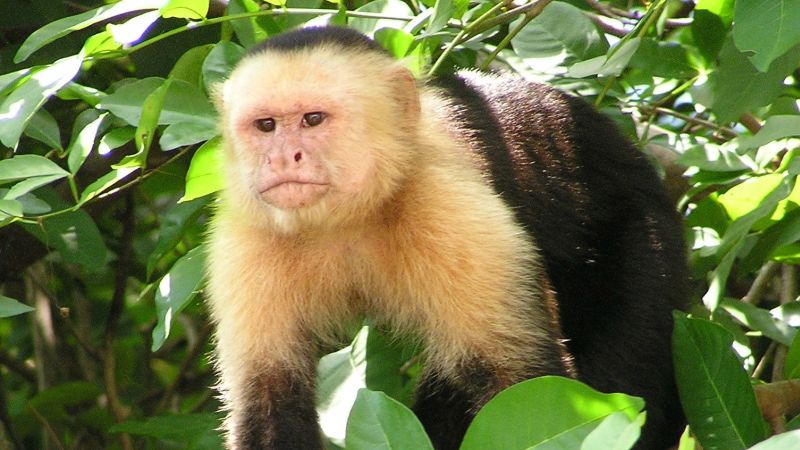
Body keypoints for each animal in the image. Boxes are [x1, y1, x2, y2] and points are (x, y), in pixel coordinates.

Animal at [206, 26, 687, 450]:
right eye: (266, 126)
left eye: (313, 119)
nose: (282, 157)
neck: (347, 220)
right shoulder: (245, 240)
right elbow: (268, 399)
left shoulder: (451, 210)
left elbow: (522, 382)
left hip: (642, 232)